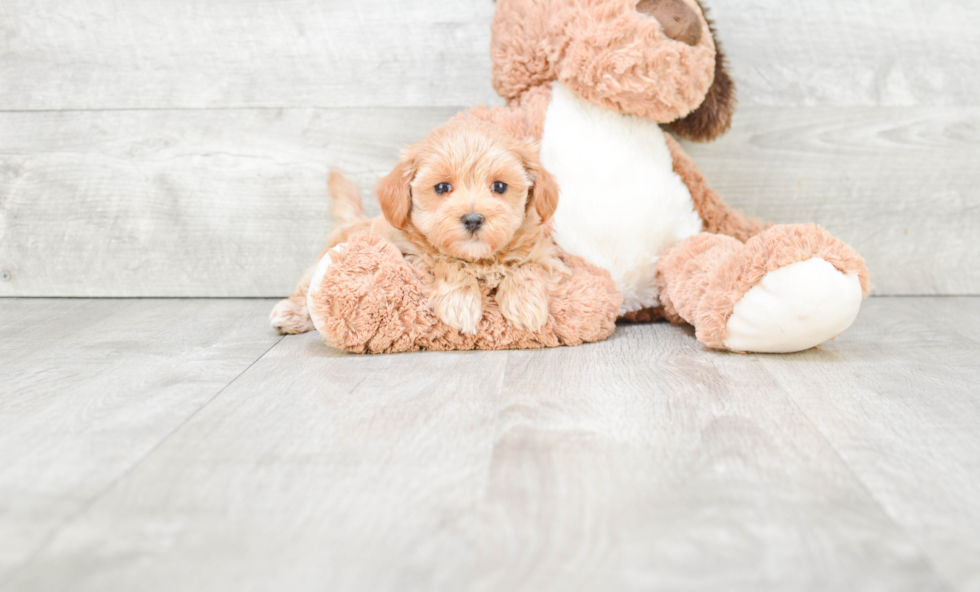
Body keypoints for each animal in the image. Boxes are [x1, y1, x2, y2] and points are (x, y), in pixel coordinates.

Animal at [268, 117, 564, 332]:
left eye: (500, 187)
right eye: (442, 187)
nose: (472, 219)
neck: (478, 259)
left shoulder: (547, 256)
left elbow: (526, 267)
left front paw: (526, 305)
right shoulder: (410, 257)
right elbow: (447, 263)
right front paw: (461, 304)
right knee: (309, 287)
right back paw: (291, 313)